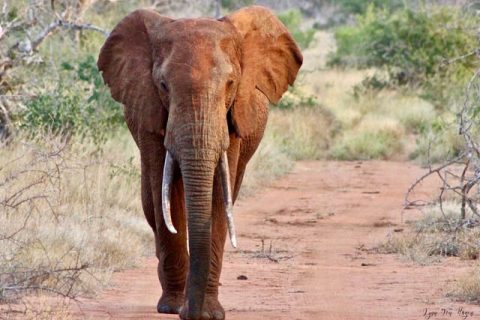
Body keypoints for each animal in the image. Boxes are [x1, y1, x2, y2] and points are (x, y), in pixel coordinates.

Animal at [96, 5, 302, 320]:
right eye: (163, 85)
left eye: (231, 84)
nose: (189, 313)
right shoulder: (149, 114)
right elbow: (165, 196)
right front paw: (172, 308)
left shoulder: (232, 122)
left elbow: (219, 199)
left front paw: (209, 313)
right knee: (151, 202)